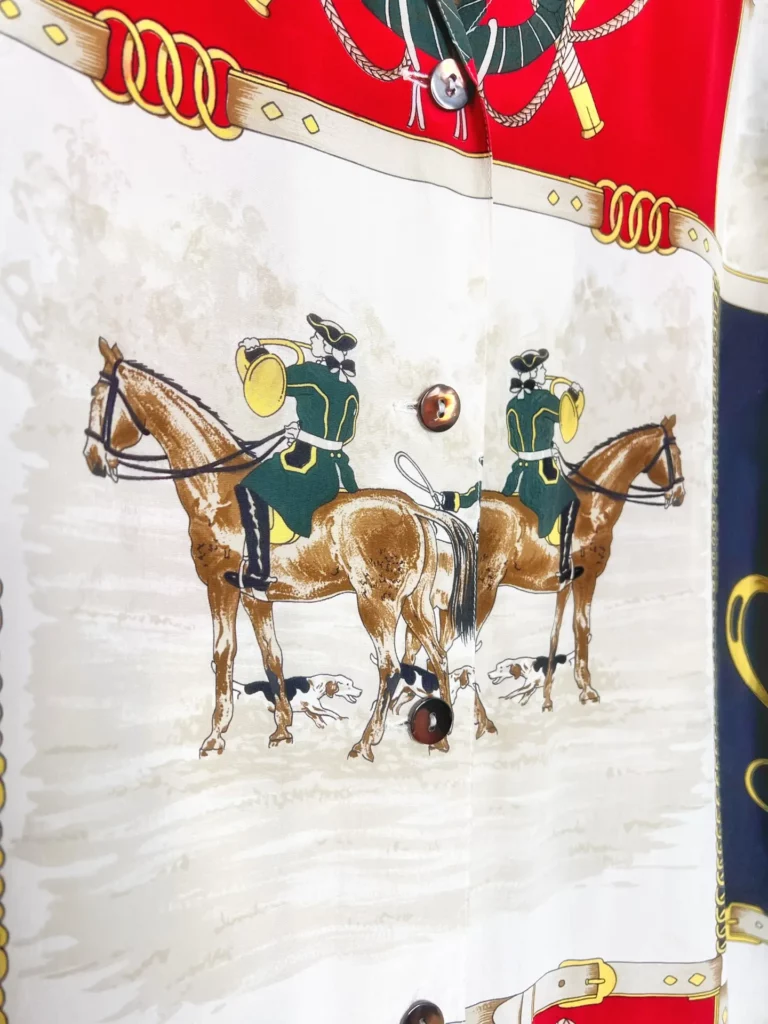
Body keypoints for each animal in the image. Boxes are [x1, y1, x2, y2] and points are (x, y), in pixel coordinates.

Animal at [233, 673, 362, 728]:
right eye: (348, 685)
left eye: (352, 684)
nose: (361, 691)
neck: (315, 685)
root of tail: (244, 688)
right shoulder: (314, 707)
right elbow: (331, 712)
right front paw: (341, 718)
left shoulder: (308, 710)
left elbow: (319, 719)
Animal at [404, 417, 686, 710]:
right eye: (676, 454)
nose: (679, 494)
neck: (592, 507)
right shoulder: (586, 578)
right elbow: (581, 627)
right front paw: (586, 689)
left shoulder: (566, 584)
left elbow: (557, 632)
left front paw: (549, 697)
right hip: (480, 596)